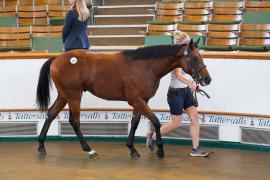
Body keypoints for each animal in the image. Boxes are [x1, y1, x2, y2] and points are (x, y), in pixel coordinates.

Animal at [37, 39, 212, 159]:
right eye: (195, 58)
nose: (207, 79)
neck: (145, 66)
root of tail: (57, 59)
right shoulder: (136, 100)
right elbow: (155, 121)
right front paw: (160, 150)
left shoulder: (141, 101)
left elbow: (134, 123)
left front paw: (132, 149)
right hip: (73, 95)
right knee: (74, 121)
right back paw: (89, 149)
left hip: (64, 95)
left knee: (51, 114)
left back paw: (41, 145)